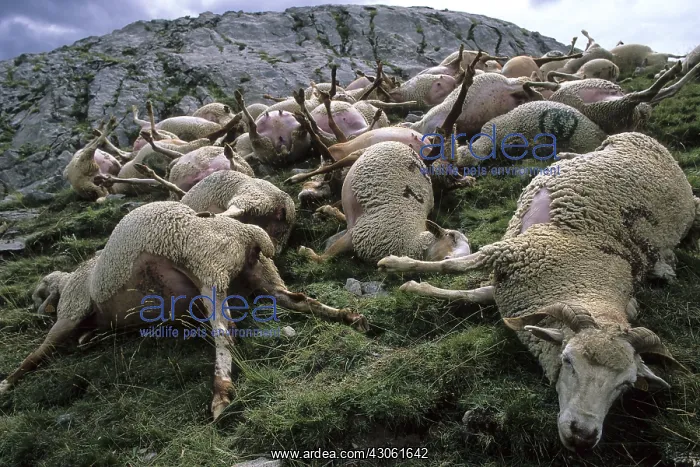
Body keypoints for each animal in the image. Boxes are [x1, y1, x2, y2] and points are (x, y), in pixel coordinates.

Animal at [0, 201, 369, 420]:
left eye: (38, 294)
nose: (37, 312)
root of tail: (249, 234)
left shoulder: (70, 312)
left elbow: (37, 354)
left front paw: (7, 382)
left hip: (207, 268)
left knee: (225, 331)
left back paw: (221, 394)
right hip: (258, 273)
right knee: (299, 299)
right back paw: (348, 316)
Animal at [377, 132, 699, 451]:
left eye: (626, 385)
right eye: (568, 360)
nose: (583, 435)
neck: (586, 287)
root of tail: (658, 147)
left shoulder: (514, 280)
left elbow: (473, 293)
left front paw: (416, 284)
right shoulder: (514, 251)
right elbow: (453, 266)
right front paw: (397, 267)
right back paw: (566, 155)